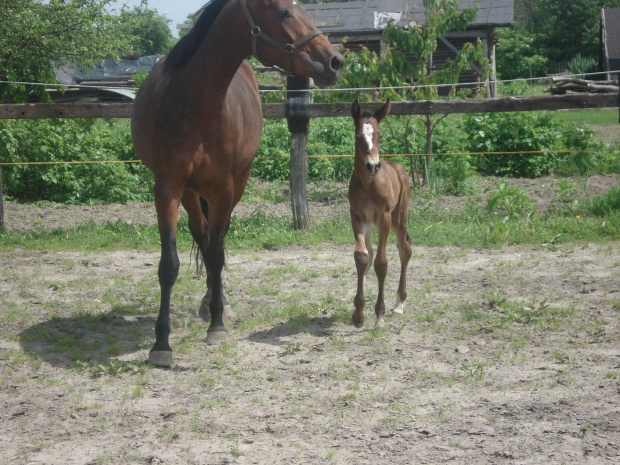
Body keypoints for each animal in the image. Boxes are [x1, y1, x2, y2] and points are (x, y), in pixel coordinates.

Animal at [132, 0, 344, 366]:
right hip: (191, 192)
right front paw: (161, 343)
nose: (334, 61)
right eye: (284, 12)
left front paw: (217, 325)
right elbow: (169, 264)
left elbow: (217, 255)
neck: (196, 103)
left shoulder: (223, 188)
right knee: (201, 235)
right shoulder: (168, 186)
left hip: (236, 185)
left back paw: (217, 304)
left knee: (215, 242)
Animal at [348, 99, 412, 328]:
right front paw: (358, 313)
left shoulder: (384, 218)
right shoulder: (357, 217)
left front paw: (379, 314)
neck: (369, 185)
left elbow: (381, 263)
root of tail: (398, 167)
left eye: (381, 135)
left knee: (405, 249)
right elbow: (362, 256)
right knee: (370, 251)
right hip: (371, 223)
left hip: (399, 218)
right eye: (358, 136)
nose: (373, 166)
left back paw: (400, 303)